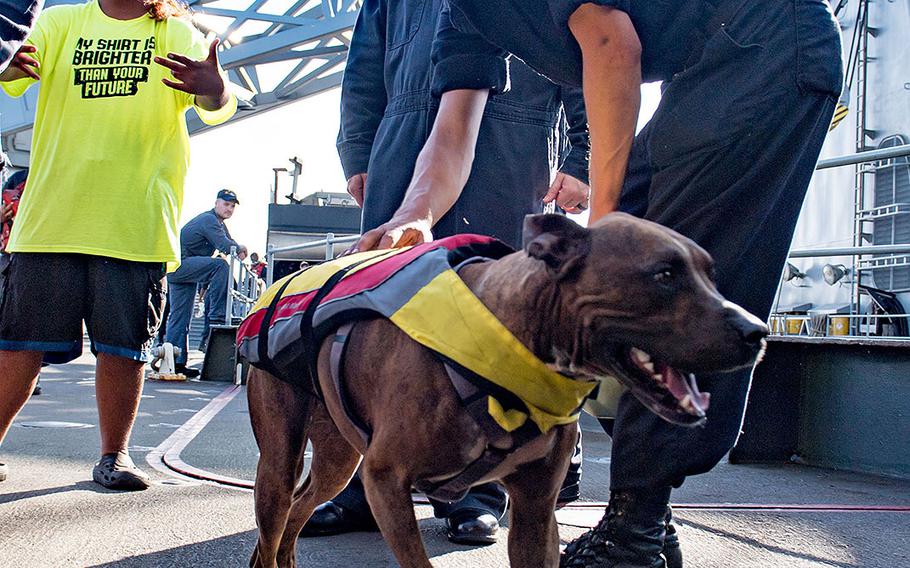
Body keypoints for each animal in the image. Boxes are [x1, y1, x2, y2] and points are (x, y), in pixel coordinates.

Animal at [246, 214, 764, 568]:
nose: (757, 332)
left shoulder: (536, 510)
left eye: (711, 275)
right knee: (279, 513)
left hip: (337, 459)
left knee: (300, 507)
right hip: (281, 464)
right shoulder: (385, 480)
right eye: (664, 274)